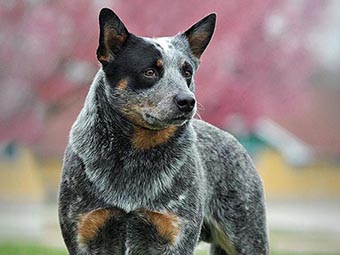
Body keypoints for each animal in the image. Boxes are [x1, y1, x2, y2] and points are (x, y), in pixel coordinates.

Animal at [59, 6, 270, 254]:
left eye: (187, 72)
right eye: (150, 72)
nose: (187, 101)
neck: (135, 155)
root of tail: (234, 140)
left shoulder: (175, 234)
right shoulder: (85, 233)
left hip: (248, 235)